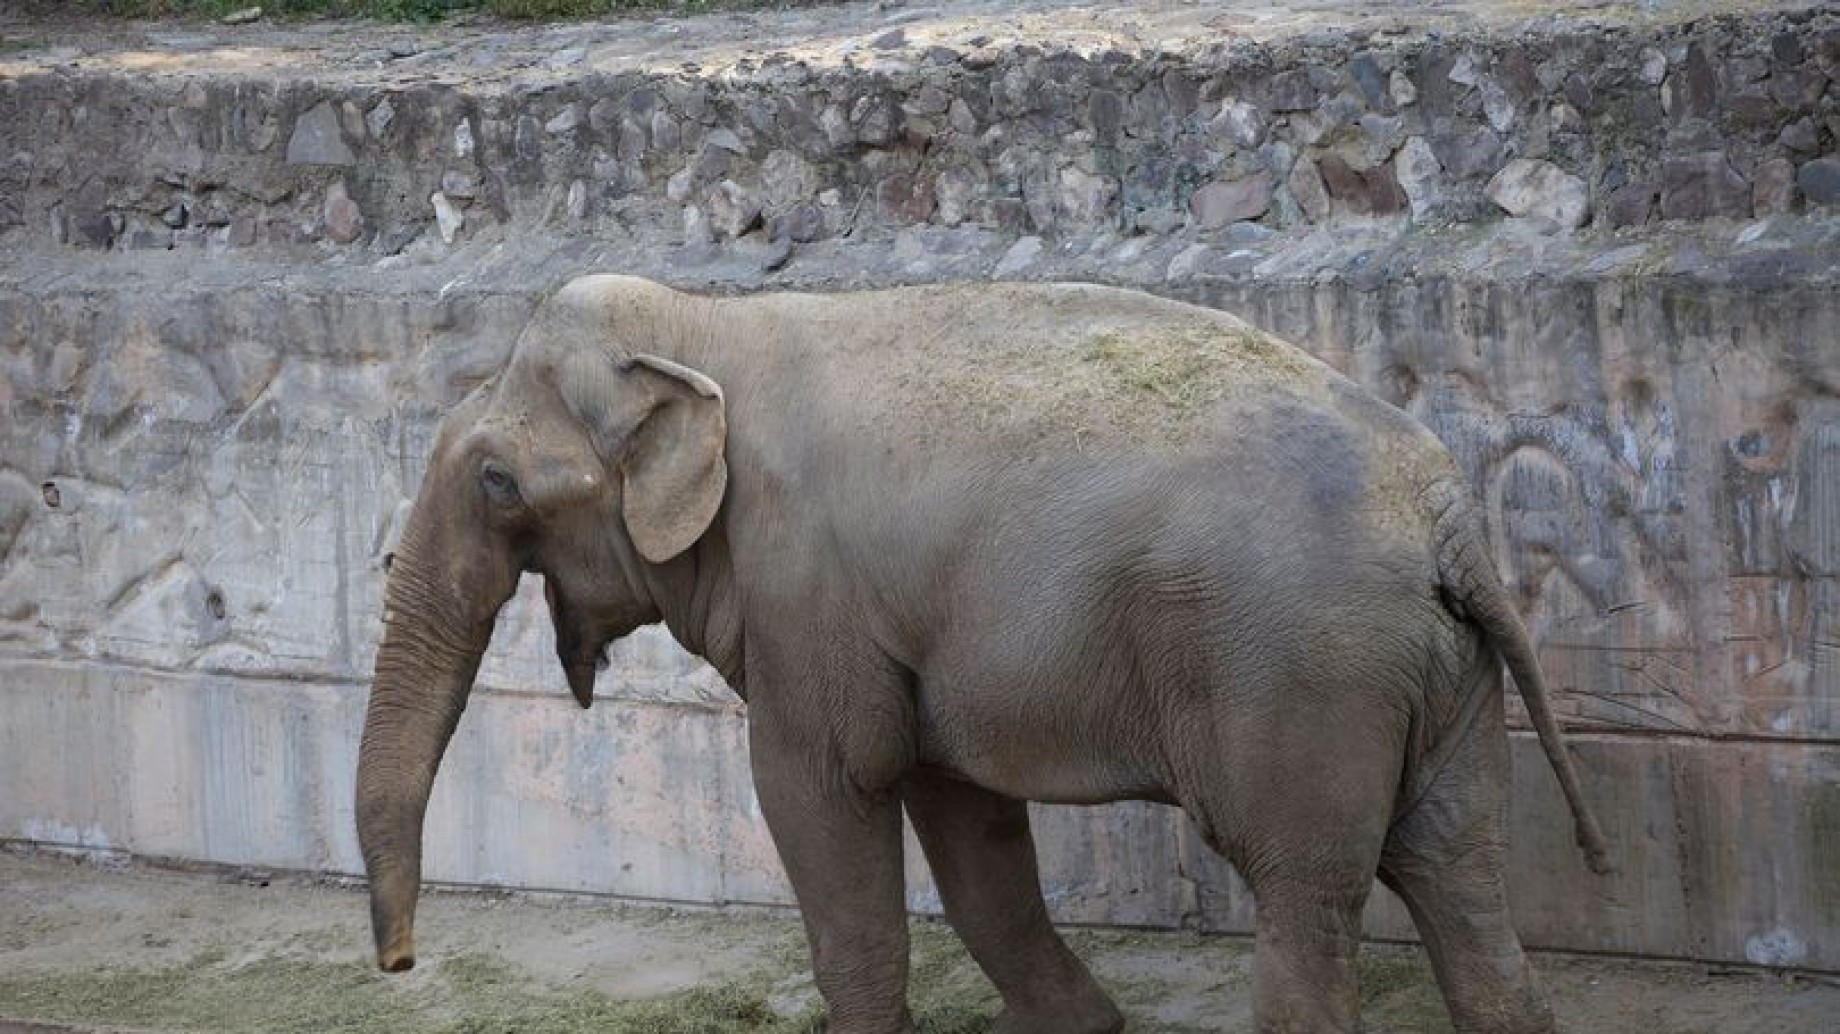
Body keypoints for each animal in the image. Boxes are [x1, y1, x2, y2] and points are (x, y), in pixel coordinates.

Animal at [354, 274, 1612, 1034]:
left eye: (496, 480)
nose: (401, 964)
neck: (704, 325)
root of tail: (1448, 524)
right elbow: (963, 817)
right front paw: (1083, 1026)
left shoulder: (805, 597)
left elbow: (819, 795)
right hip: (1437, 676)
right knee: (1459, 869)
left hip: (1304, 674)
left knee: (1310, 887)